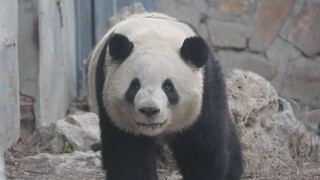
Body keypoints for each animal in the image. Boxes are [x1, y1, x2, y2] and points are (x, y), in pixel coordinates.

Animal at [87, 13, 242, 180]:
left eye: (168, 87)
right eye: (135, 85)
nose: (149, 110)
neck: (154, 36)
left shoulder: (205, 91)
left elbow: (201, 148)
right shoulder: (112, 106)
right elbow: (129, 154)